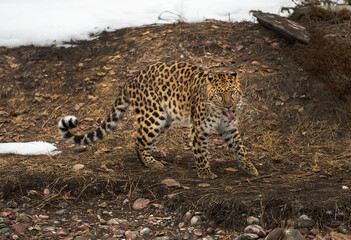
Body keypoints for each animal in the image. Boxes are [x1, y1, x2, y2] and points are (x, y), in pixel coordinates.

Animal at [58, 61, 258, 179]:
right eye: (219, 95)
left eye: (232, 92)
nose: (230, 107)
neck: (219, 113)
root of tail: (132, 80)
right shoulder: (199, 129)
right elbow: (201, 152)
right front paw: (205, 172)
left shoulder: (229, 128)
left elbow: (240, 147)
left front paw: (249, 167)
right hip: (153, 116)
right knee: (139, 140)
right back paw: (150, 162)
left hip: (165, 118)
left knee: (145, 139)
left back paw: (155, 152)